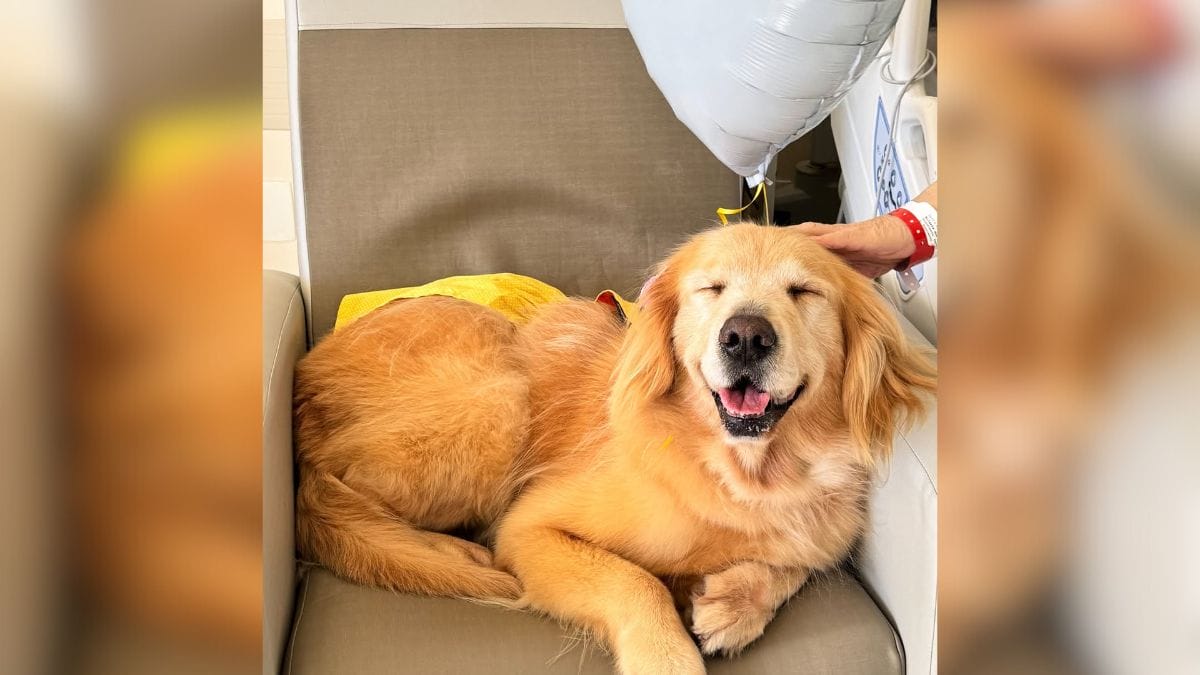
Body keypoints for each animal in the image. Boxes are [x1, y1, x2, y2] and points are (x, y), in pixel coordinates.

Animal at [294, 223, 935, 673]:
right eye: (711, 288)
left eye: (804, 292)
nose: (746, 336)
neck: (744, 473)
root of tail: (306, 373)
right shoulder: (530, 528)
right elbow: (636, 582)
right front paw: (671, 653)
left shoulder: (822, 530)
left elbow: (800, 562)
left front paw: (733, 605)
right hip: (502, 398)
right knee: (341, 497)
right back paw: (450, 551)